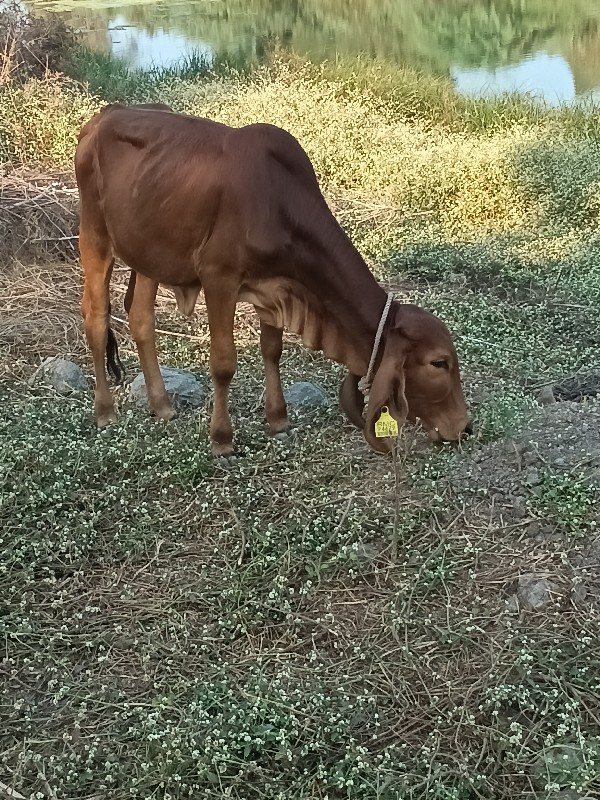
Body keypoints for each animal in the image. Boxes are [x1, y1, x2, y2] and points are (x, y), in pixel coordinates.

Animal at [74, 104, 468, 462]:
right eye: (440, 363)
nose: (465, 427)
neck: (278, 198)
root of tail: (101, 117)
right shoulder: (219, 277)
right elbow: (224, 363)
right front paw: (221, 439)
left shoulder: (276, 288)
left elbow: (272, 350)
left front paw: (277, 419)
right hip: (95, 235)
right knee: (96, 318)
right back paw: (105, 411)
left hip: (149, 255)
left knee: (141, 319)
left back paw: (162, 405)